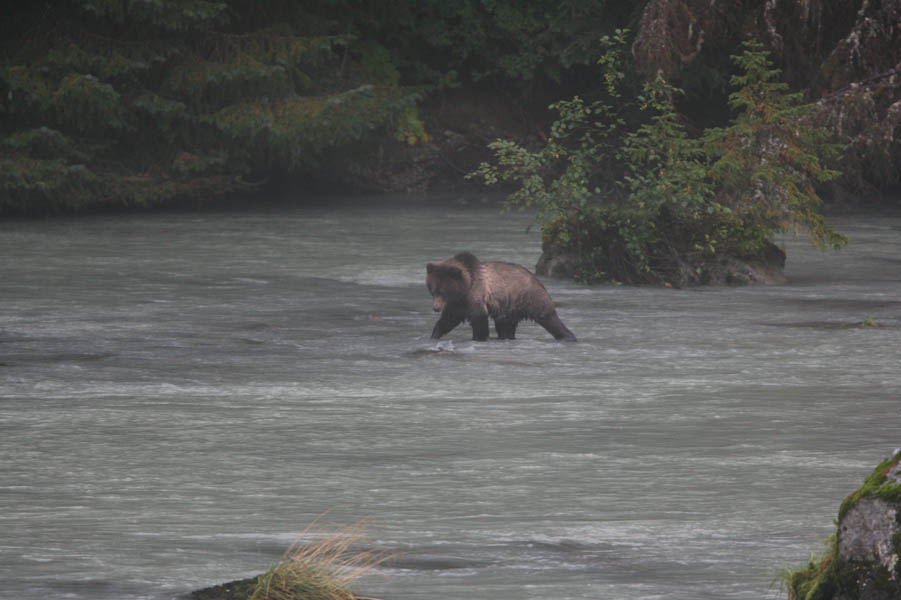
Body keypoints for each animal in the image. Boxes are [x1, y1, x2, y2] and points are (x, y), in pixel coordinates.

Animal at [424, 250, 576, 342]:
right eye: (433, 290)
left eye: (443, 291)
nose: (435, 308)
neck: (465, 287)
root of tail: (537, 279)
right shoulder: (458, 303)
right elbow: (448, 319)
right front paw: (434, 335)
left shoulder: (475, 295)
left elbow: (479, 319)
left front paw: (479, 338)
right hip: (508, 309)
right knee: (505, 327)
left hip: (529, 297)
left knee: (549, 319)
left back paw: (569, 336)